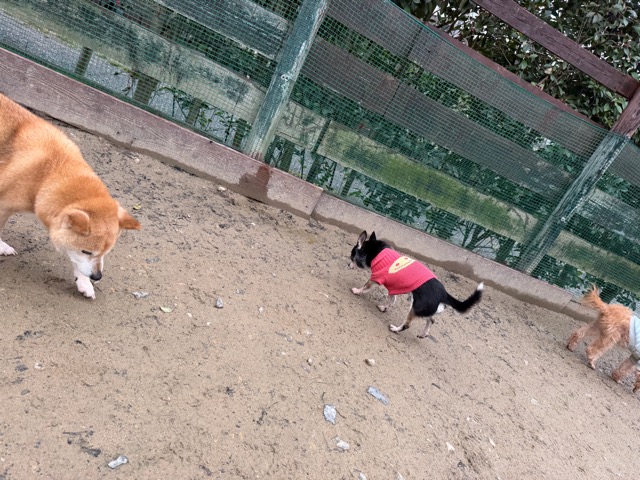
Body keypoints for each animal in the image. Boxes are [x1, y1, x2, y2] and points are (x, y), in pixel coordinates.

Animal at [0, 93, 140, 299]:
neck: (49, 173)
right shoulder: (4, 205)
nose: (97, 276)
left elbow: (75, 261)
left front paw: (84, 282)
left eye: (106, 252)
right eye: (87, 251)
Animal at [349, 231, 484, 338]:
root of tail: (443, 293)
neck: (376, 252)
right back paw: (424, 334)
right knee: (432, 320)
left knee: (407, 324)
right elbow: (391, 300)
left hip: (415, 307)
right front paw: (384, 308)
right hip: (424, 309)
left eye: (351, 256)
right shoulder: (393, 287)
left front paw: (356, 291)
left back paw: (395, 329)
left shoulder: (375, 279)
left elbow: (365, 287)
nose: (348, 264)